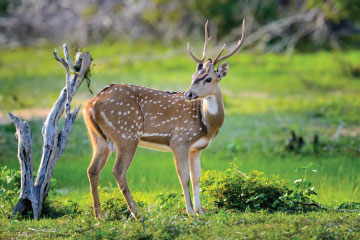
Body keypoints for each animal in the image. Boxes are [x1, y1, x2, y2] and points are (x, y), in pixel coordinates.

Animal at [83, 19, 245, 219]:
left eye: (208, 78)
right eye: (193, 76)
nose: (188, 94)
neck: (206, 124)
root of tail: (91, 105)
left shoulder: (196, 148)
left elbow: (197, 177)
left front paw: (200, 211)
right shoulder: (179, 140)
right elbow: (184, 177)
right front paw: (190, 212)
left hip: (98, 138)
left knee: (92, 170)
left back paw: (100, 216)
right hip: (126, 134)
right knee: (118, 170)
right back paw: (137, 213)